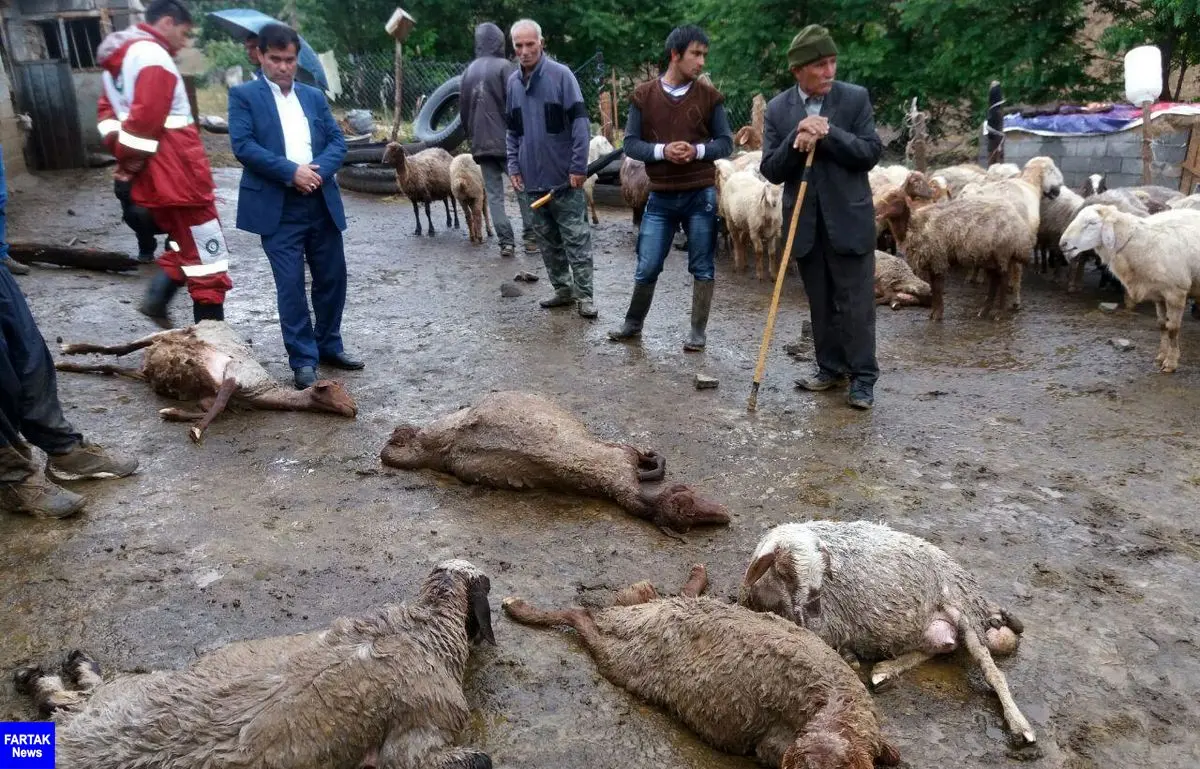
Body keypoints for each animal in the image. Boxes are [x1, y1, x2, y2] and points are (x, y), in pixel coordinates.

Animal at [11, 556, 496, 767]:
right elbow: (470, 760)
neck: (419, 629)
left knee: (77, 702)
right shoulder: (421, 730)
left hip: (132, 693)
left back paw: (53, 677)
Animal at [501, 556, 902, 767]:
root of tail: (629, 617)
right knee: (583, 618)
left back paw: (695, 576)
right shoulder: (775, 746)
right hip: (628, 659)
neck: (832, 706)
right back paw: (521, 608)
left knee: (668, 596)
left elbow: (893, 754)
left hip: (652, 623)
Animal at [734, 523, 1036, 743]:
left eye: (824, 571)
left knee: (993, 672)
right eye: (785, 570)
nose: (814, 612)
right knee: (941, 646)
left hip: (963, 608)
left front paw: (849, 657)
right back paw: (885, 670)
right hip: (936, 628)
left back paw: (1020, 726)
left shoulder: (826, 629)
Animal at [1060, 203, 1200, 371]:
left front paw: (1171, 363)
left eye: (1092, 223)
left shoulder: (1176, 292)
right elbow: (1162, 326)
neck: (1138, 241)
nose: (1063, 244)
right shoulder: (1159, 293)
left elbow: (1172, 329)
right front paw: (1160, 357)